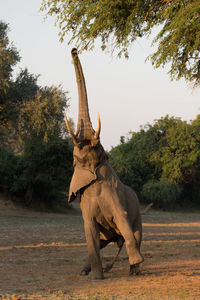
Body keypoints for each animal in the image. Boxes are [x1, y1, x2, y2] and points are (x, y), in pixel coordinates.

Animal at [65, 47, 144, 278]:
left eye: (99, 146)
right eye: (76, 159)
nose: (74, 49)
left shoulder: (115, 197)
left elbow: (122, 219)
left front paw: (137, 262)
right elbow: (89, 232)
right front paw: (96, 278)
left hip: (139, 215)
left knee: (136, 234)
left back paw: (134, 271)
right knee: (101, 242)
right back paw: (84, 271)